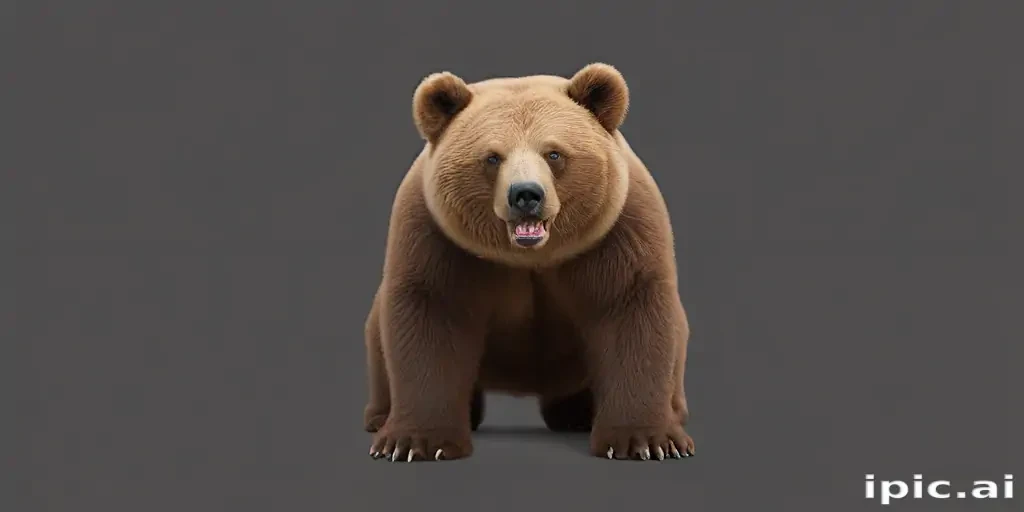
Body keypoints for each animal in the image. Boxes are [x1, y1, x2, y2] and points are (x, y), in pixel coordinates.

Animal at [363, 63, 695, 462]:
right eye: (492, 157)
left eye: (554, 153)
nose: (526, 194)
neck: (529, 256)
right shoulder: (436, 238)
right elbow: (431, 315)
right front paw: (414, 443)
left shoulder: (618, 233)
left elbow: (630, 310)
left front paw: (646, 441)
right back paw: (381, 417)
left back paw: (585, 414)